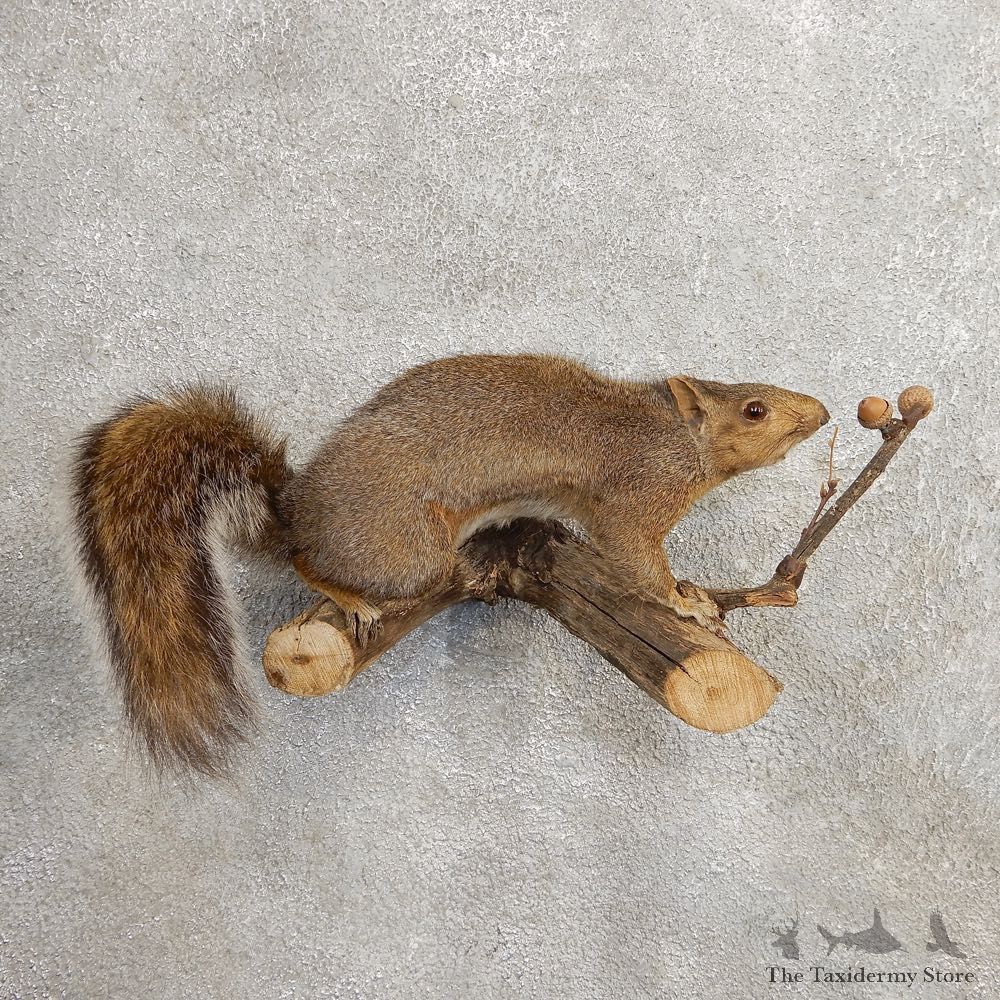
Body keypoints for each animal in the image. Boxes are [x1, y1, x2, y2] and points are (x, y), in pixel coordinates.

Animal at [71, 353, 829, 777]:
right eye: (754, 409)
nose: (821, 411)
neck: (669, 435)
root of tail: (296, 507)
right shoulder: (634, 499)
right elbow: (636, 557)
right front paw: (685, 600)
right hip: (407, 550)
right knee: (305, 559)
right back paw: (350, 596)